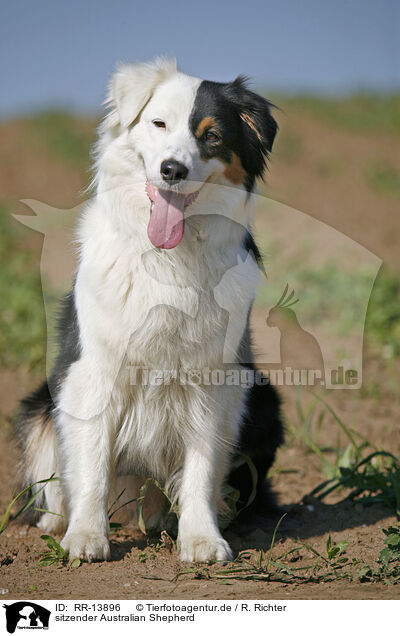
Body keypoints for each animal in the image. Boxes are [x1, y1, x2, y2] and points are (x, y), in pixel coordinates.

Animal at [16, 56, 284, 560]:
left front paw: (202, 539)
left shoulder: (214, 379)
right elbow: (91, 465)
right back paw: (53, 524)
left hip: (264, 399)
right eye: (158, 124)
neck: (168, 258)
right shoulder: (92, 371)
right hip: (40, 405)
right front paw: (86, 537)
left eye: (211, 136)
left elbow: (201, 468)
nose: (173, 169)